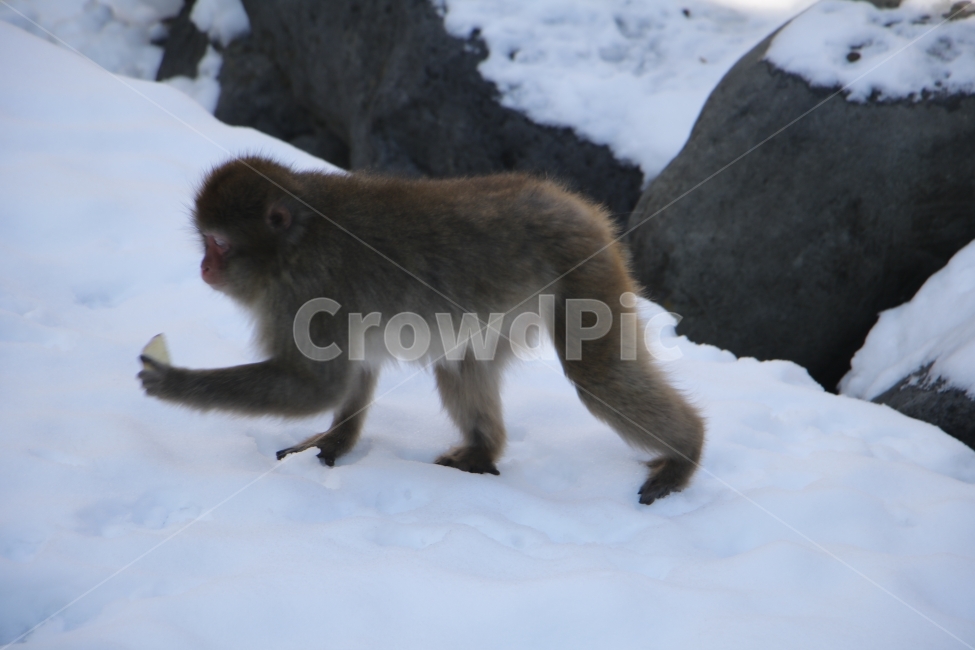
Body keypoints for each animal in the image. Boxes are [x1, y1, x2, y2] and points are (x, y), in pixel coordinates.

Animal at [139, 155, 705, 505]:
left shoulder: (307, 290)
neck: (294, 243)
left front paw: (173, 382)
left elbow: (317, 386)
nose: (204, 267)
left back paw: (685, 455)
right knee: (461, 362)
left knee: (597, 375)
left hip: (582, 269)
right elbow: (355, 370)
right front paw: (335, 440)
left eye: (218, 244)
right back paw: (482, 451)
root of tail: (574, 203)